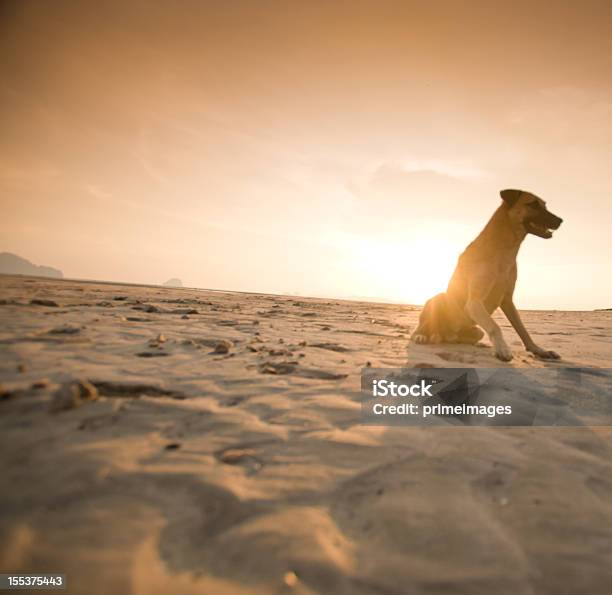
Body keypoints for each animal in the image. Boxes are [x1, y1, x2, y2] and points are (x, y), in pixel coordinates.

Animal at [412, 189, 564, 360]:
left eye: (544, 205)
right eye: (533, 204)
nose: (560, 220)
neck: (504, 250)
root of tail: (444, 333)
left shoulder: (508, 300)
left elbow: (522, 330)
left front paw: (538, 350)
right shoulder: (474, 302)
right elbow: (495, 326)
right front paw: (503, 349)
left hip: (476, 331)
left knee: (456, 338)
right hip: (438, 299)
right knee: (422, 328)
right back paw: (421, 336)